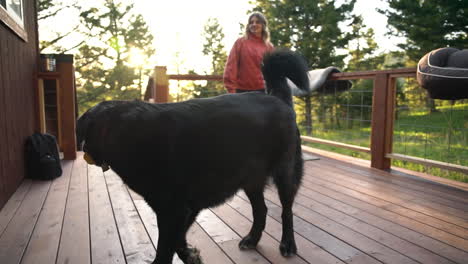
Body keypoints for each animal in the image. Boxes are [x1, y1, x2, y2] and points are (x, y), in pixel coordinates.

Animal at [77, 49, 310, 264]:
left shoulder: (174, 210)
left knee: (286, 211)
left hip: (285, 173)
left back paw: (288, 243)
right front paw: (190, 255)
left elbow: (164, 250)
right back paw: (252, 239)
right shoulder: (184, 209)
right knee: (261, 210)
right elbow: (178, 241)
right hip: (250, 179)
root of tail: (276, 97)